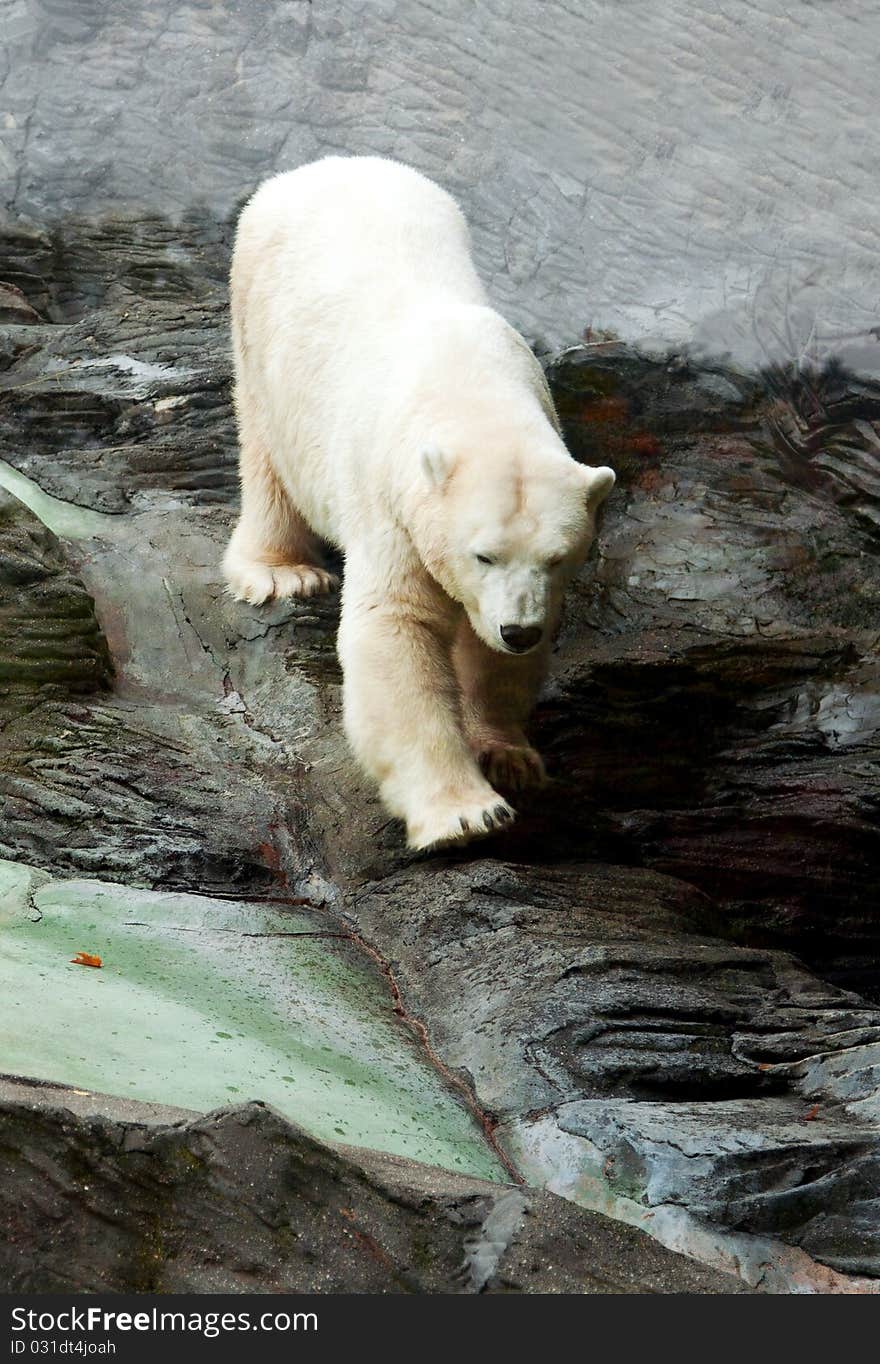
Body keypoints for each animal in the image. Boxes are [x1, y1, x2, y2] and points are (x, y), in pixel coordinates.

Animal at [223, 154, 613, 845]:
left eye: (557, 558)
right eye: (483, 555)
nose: (518, 630)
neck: (473, 394)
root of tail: (331, 163)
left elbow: (488, 657)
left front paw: (508, 755)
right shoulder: (392, 499)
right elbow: (395, 628)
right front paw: (466, 811)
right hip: (259, 327)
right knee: (266, 452)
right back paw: (282, 572)